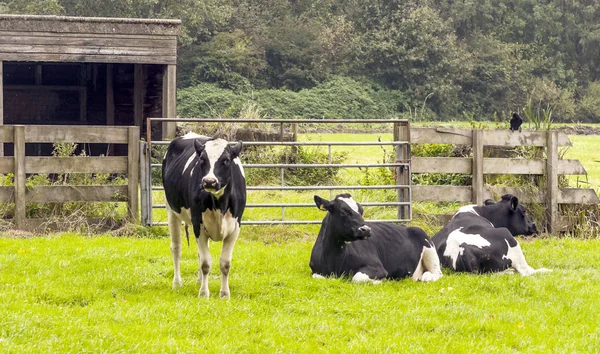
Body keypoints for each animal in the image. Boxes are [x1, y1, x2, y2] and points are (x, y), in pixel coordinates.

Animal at [162, 133, 246, 298]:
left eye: (226, 160)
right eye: (202, 159)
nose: (209, 181)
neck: (219, 205)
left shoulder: (235, 228)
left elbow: (225, 263)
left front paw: (224, 294)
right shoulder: (198, 225)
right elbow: (206, 263)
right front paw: (203, 294)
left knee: (200, 252)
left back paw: (199, 280)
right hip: (171, 211)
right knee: (176, 247)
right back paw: (177, 283)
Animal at [310, 194, 440, 282]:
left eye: (361, 211)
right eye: (343, 212)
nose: (366, 229)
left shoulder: (377, 268)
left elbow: (357, 277)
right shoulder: (315, 271)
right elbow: (317, 276)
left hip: (429, 248)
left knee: (436, 273)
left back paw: (426, 276)